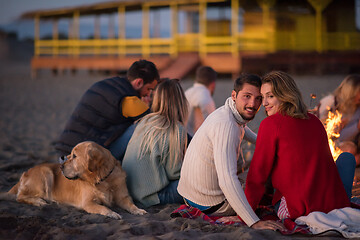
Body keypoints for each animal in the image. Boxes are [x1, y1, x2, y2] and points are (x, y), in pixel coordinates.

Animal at [0, 142, 146, 218]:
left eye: (74, 156)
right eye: (70, 155)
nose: (61, 166)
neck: (104, 180)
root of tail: (25, 173)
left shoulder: (123, 197)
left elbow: (130, 204)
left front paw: (138, 210)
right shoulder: (88, 203)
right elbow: (104, 208)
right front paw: (113, 213)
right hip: (45, 173)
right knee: (19, 196)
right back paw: (39, 201)